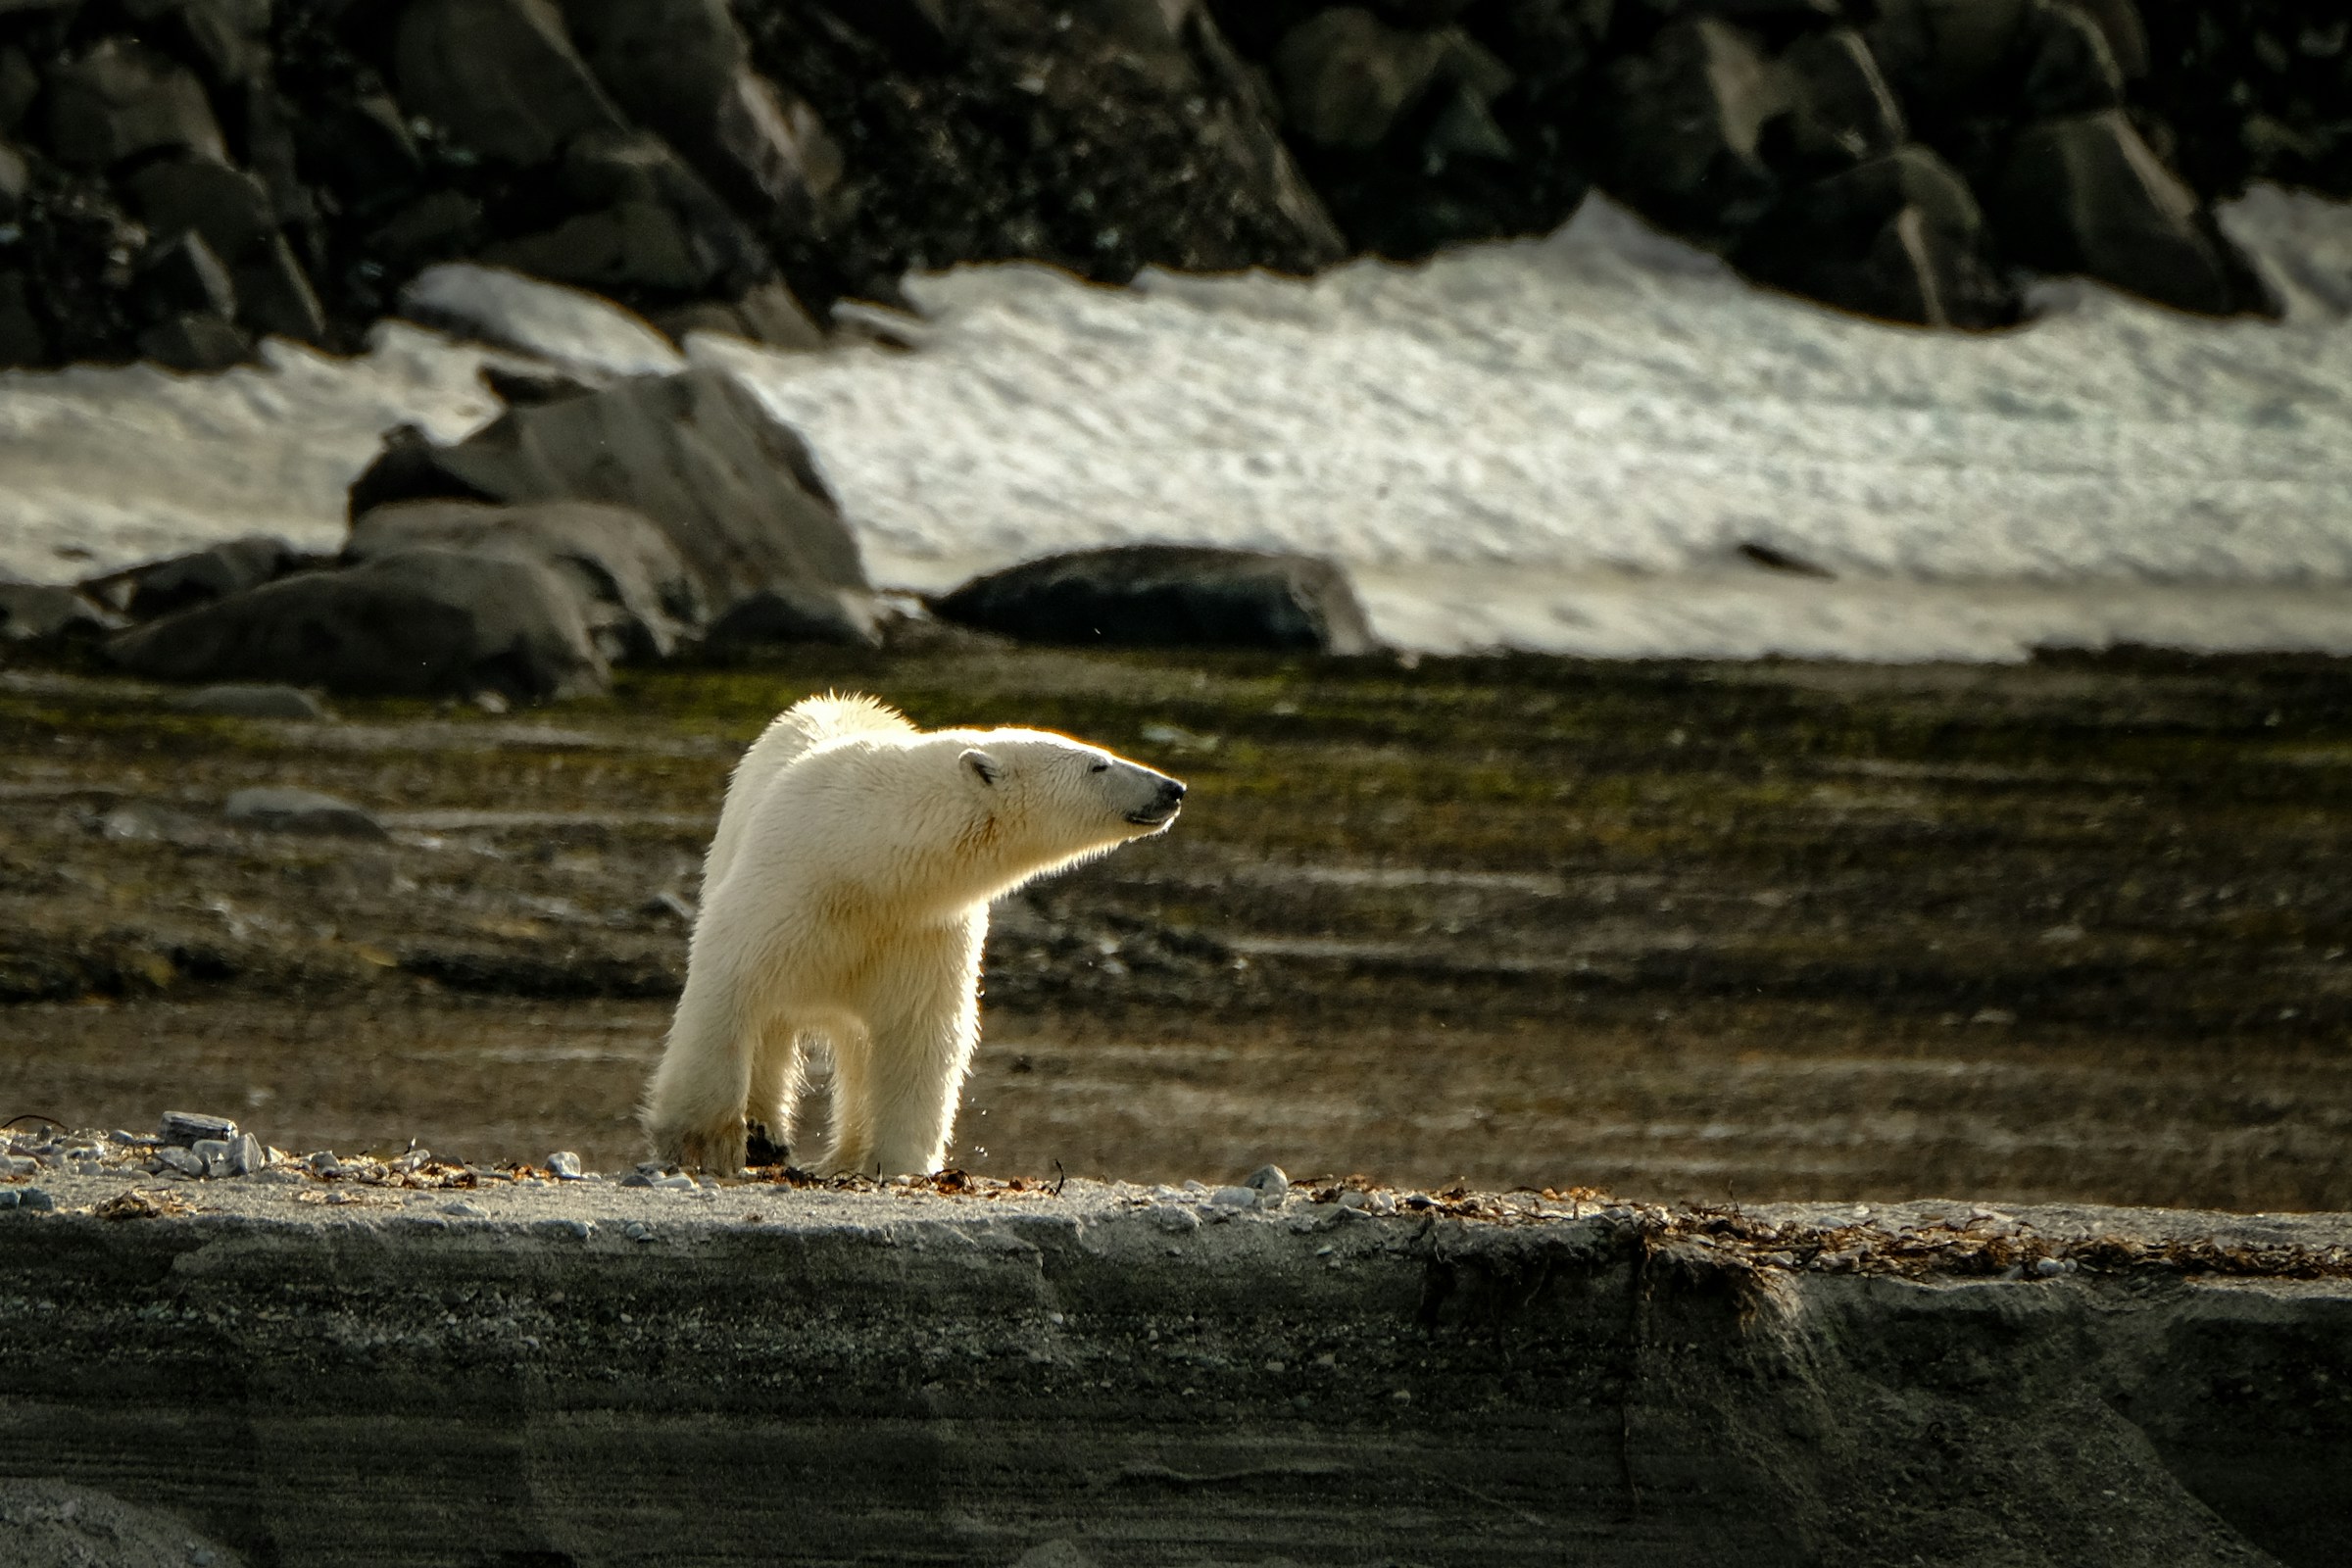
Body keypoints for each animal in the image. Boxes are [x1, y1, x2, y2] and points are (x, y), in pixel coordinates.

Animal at [641, 693, 1186, 1176]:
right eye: (1099, 765)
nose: (1172, 788)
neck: (866, 863)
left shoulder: (922, 928)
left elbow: (919, 1033)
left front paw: (899, 1164)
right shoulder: (784, 890)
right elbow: (729, 992)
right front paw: (705, 1147)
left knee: (856, 1049)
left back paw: (839, 1155)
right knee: (776, 1027)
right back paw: (765, 1135)